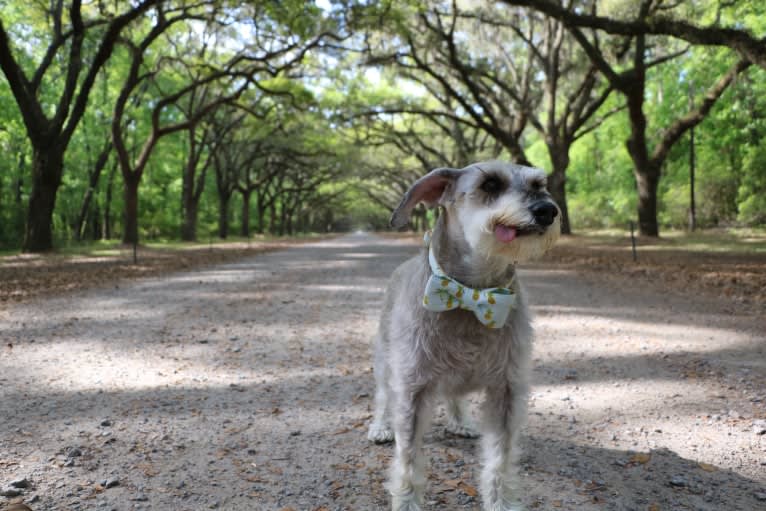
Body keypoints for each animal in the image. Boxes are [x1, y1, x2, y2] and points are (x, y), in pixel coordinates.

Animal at [368, 161, 560, 511]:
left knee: (454, 395)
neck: (472, 293)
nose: (547, 210)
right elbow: (408, 456)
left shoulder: (507, 390)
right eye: (490, 183)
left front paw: (502, 502)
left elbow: (501, 457)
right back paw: (380, 427)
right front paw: (407, 500)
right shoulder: (413, 387)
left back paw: (461, 422)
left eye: (539, 184)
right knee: (383, 397)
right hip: (386, 364)